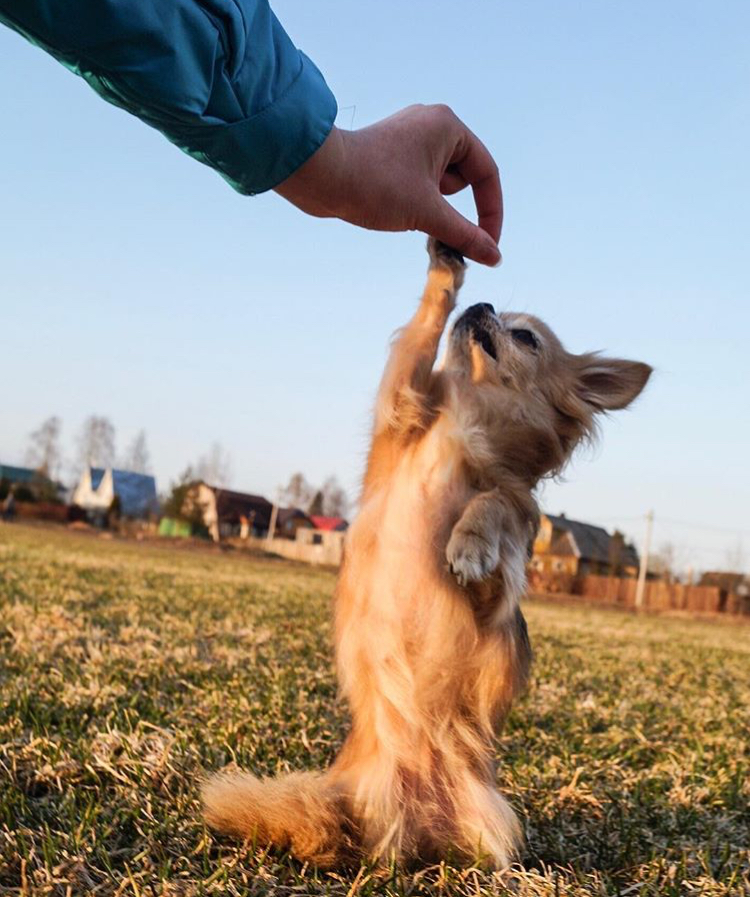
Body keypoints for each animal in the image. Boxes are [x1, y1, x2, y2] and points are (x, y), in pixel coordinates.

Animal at [204, 238, 652, 868]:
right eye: (494, 311)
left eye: (526, 337)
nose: (482, 302)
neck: (466, 426)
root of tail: (416, 826)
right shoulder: (400, 408)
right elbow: (421, 336)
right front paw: (445, 268)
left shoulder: (496, 583)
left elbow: (493, 504)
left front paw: (467, 544)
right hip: (342, 801)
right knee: (324, 827)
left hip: (490, 817)